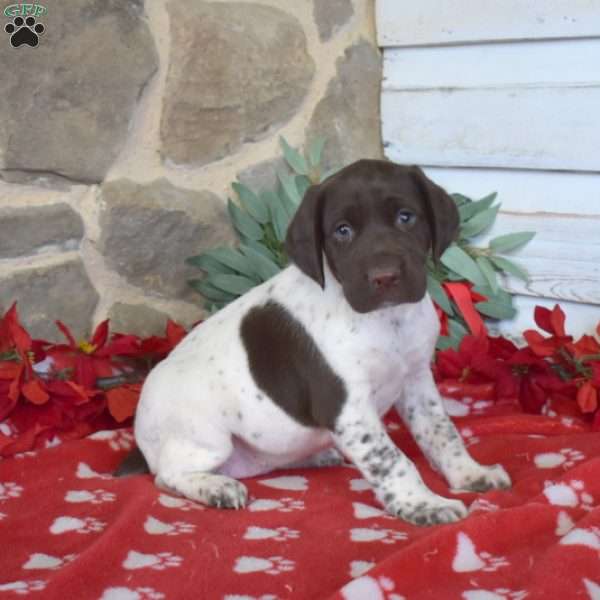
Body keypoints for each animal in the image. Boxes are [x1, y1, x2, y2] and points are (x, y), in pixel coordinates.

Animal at [125, 158, 510, 524]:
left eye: (406, 217)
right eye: (342, 231)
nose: (385, 277)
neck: (387, 321)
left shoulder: (416, 381)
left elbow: (442, 432)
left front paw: (469, 474)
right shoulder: (348, 409)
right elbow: (392, 459)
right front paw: (423, 504)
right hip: (207, 439)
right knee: (168, 475)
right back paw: (216, 487)